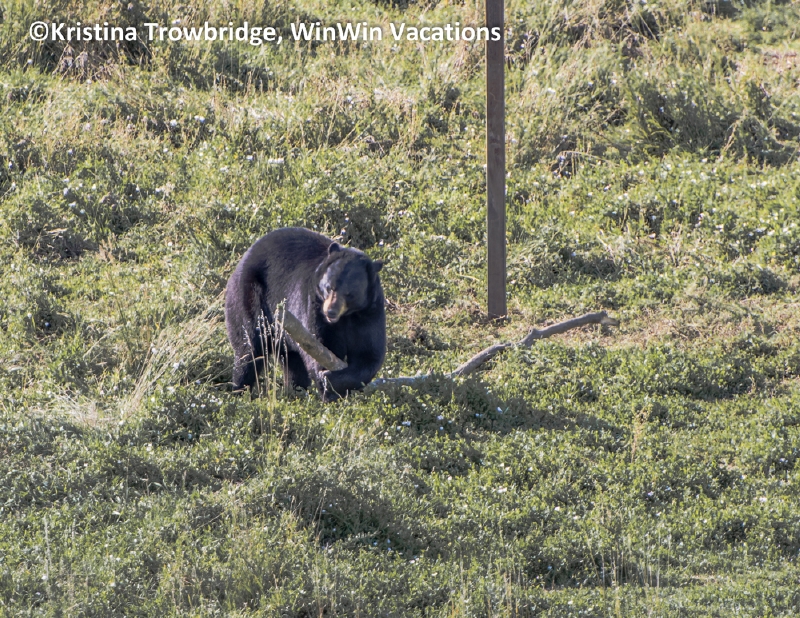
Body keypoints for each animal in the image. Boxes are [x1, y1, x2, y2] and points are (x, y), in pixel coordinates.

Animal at [224, 227, 386, 402]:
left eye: (349, 294)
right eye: (329, 287)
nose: (330, 311)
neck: (346, 316)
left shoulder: (369, 312)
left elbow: (369, 353)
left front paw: (334, 383)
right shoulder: (313, 306)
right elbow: (320, 347)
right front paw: (328, 388)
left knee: (293, 362)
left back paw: (295, 392)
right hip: (249, 297)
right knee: (249, 348)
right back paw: (240, 390)